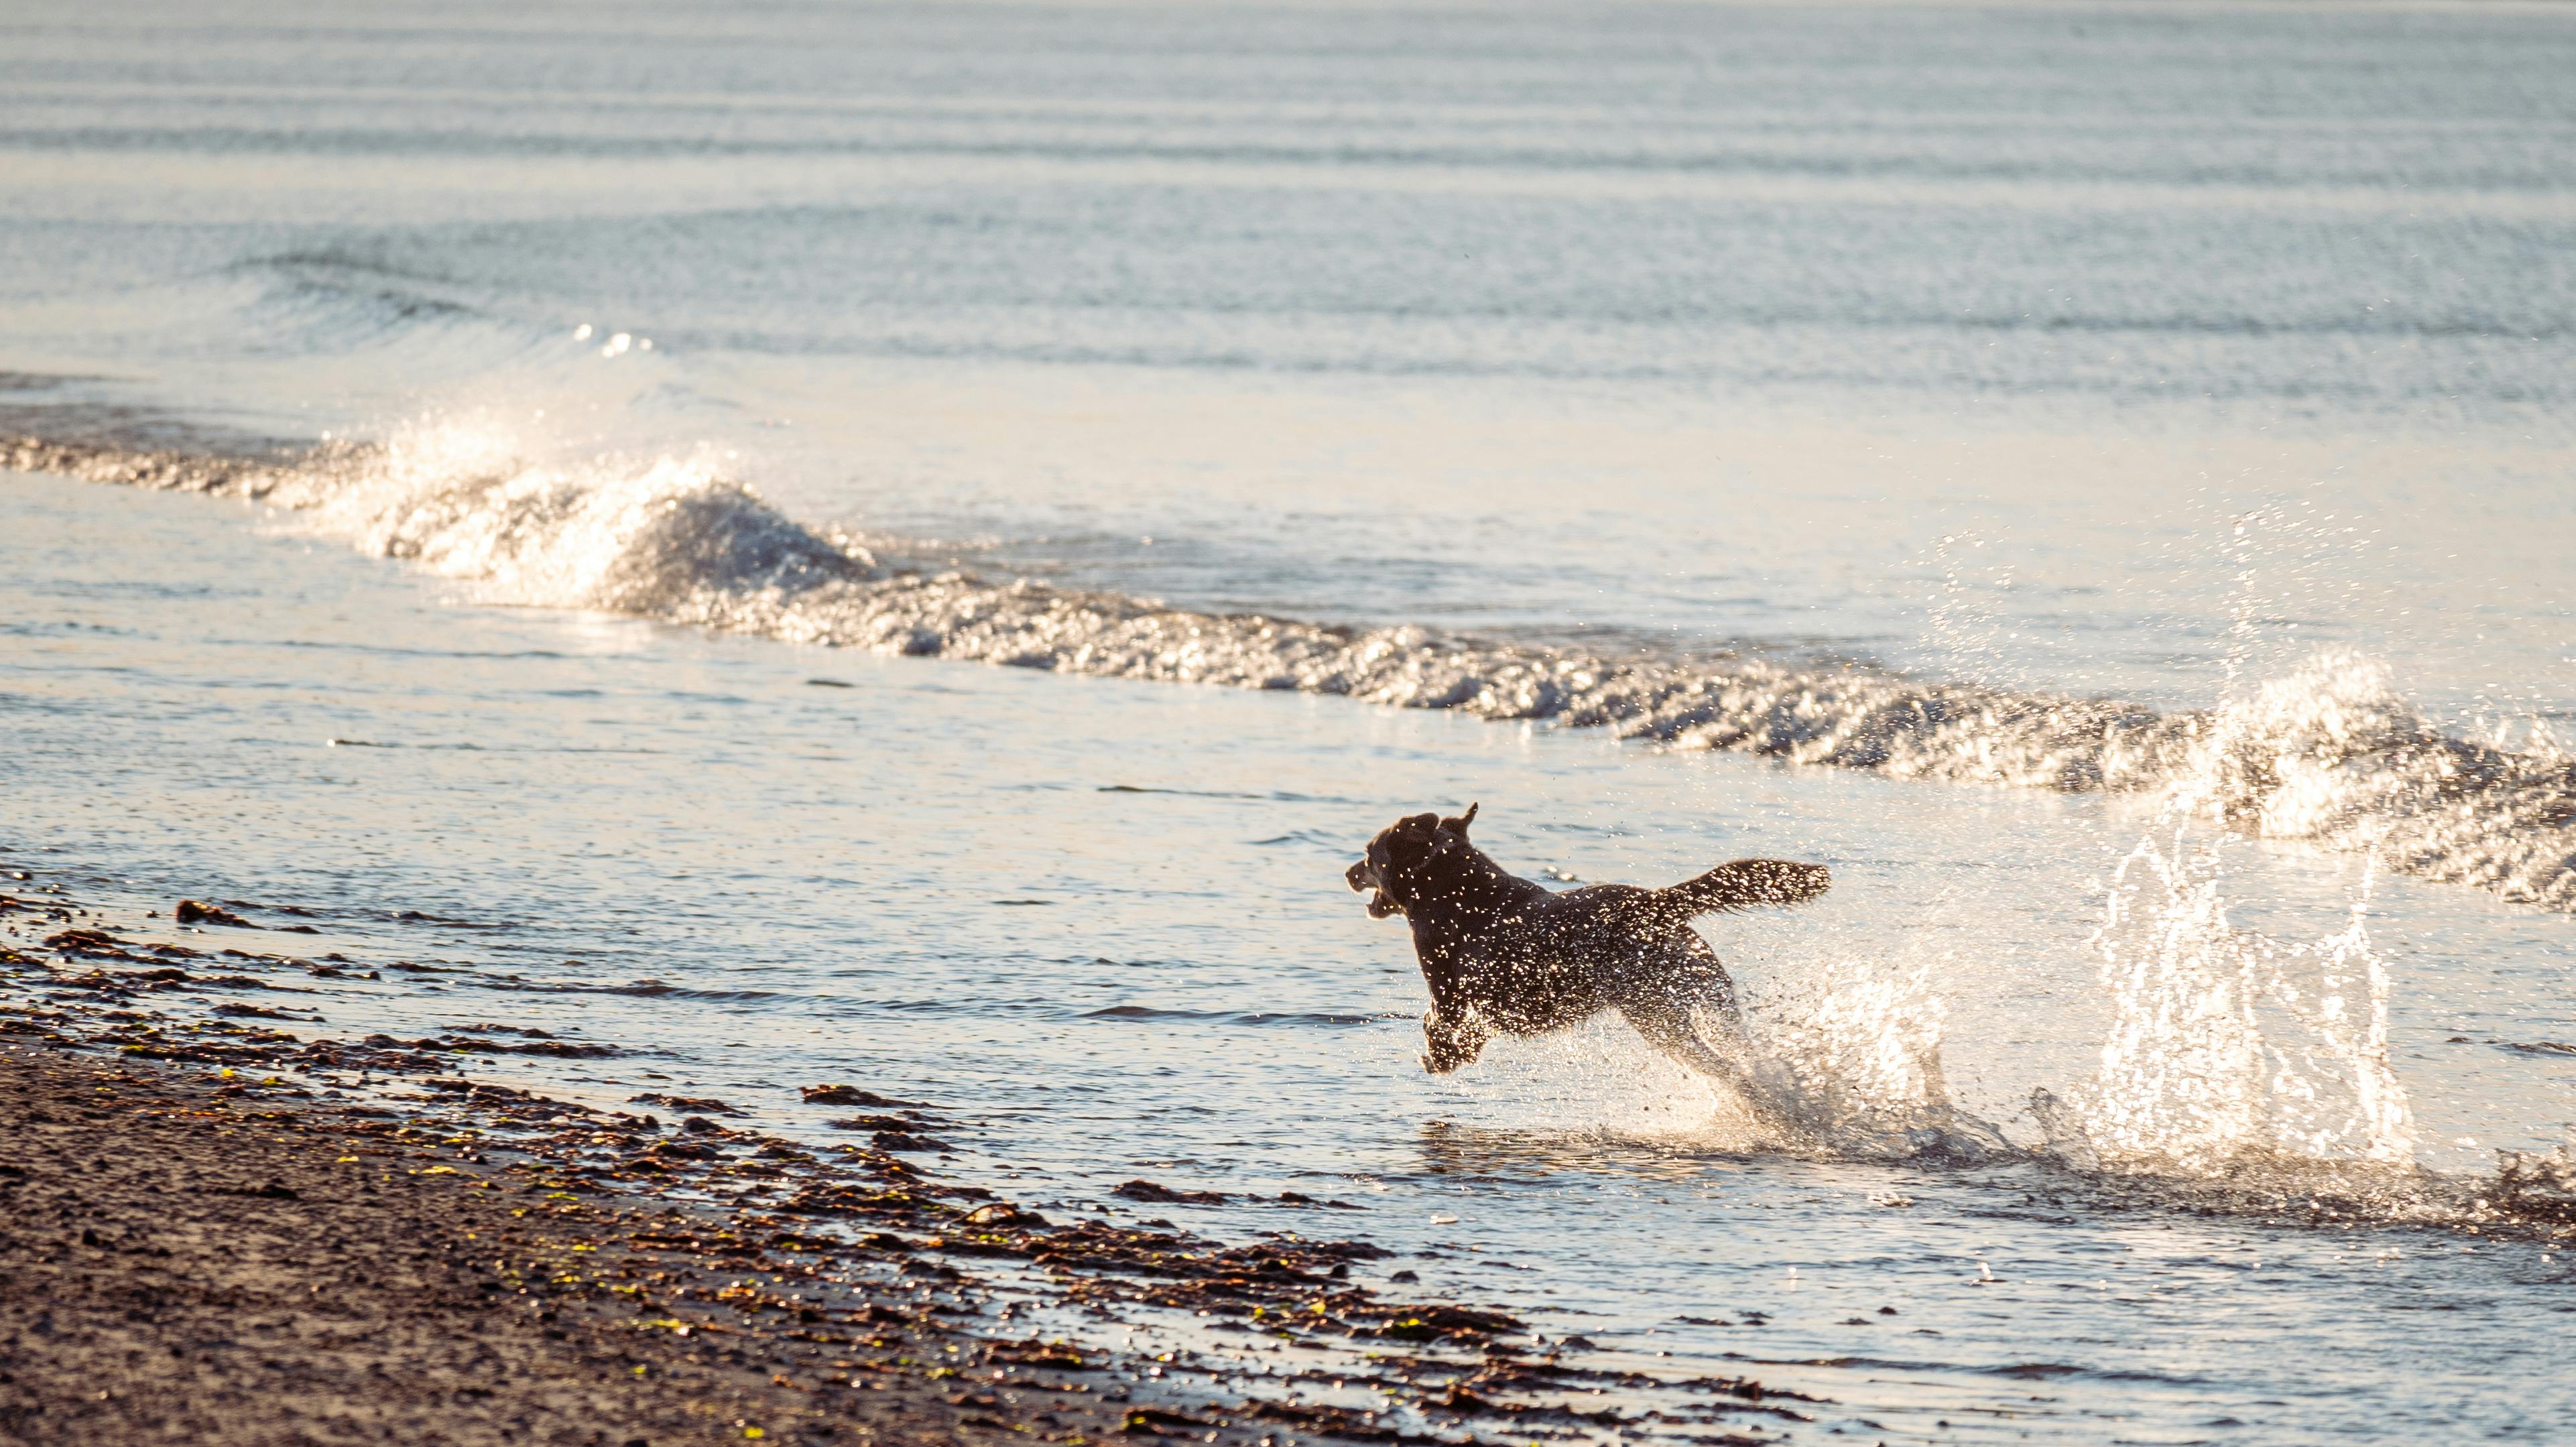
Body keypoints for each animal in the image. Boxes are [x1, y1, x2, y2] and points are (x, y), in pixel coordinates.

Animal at [1349, 798, 1834, 1091]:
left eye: (1370, 855)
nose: (1348, 872)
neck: (1447, 882)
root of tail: (1656, 902)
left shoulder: (1447, 990)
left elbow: (1435, 1021)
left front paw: (1442, 1056)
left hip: (1656, 1012)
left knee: (1718, 1063)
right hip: (1710, 995)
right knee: (1739, 1047)